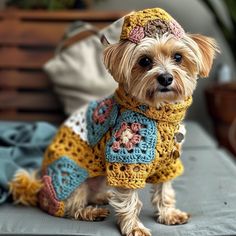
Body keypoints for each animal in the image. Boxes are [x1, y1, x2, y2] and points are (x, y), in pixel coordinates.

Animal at [9, 7, 219, 236]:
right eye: (144, 61)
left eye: (178, 57)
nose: (165, 78)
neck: (157, 112)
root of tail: (37, 188)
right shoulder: (126, 161)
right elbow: (130, 200)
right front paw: (134, 227)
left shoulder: (168, 163)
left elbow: (165, 191)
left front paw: (168, 214)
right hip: (72, 177)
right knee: (71, 207)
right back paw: (91, 211)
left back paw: (102, 198)